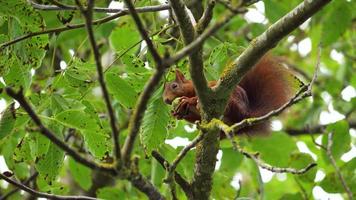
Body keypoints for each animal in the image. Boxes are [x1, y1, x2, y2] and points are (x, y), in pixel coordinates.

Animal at [163, 55, 302, 135]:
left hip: (232, 100)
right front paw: (177, 113)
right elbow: (193, 118)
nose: (165, 100)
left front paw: (188, 100)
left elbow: (196, 98)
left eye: (174, 86)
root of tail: (245, 115)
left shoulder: (206, 90)